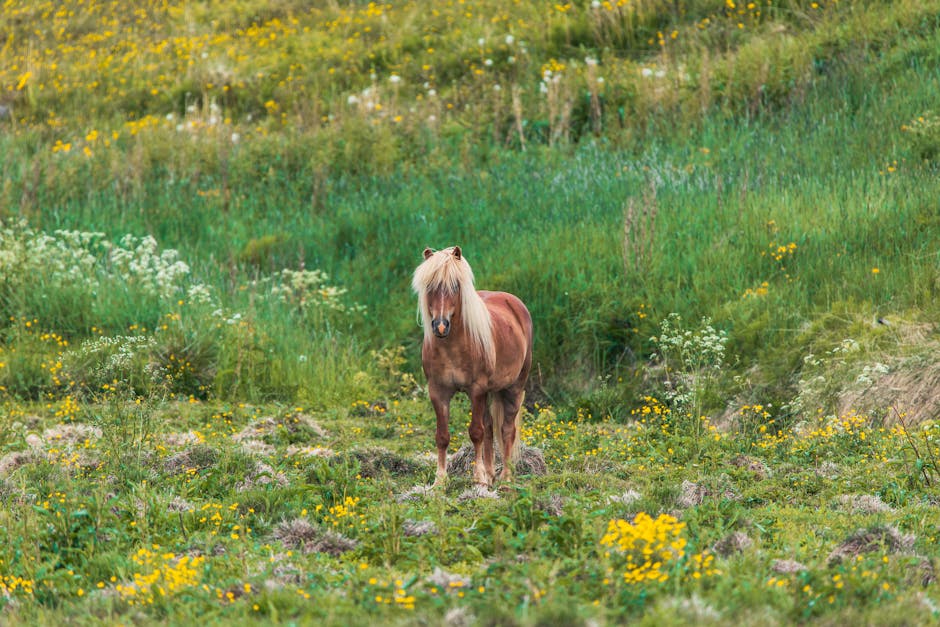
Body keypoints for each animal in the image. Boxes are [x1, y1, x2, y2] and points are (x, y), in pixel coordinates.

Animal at [414, 248, 536, 488]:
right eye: (430, 286)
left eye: (455, 286)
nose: (440, 326)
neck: (451, 347)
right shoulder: (438, 392)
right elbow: (442, 436)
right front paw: (440, 481)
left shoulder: (477, 390)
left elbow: (476, 432)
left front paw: (478, 478)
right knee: (490, 427)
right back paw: (491, 475)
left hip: (514, 388)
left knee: (506, 430)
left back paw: (505, 477)